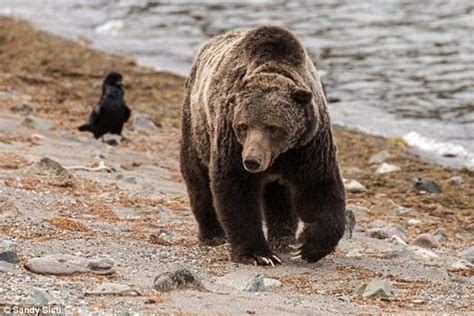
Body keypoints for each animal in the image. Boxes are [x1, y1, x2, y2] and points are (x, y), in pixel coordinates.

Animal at [180, 25, 346, 266]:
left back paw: (284, 238)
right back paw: (213, 234)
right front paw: (259, 254)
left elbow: (321, 187)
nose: (252, 160)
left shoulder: (308, 146)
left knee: (280, 195)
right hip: (196, 125)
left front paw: (307, 246)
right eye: (243, 126)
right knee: (197, 177)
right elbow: (235, 189)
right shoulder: (231, 142)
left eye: (272, 127)